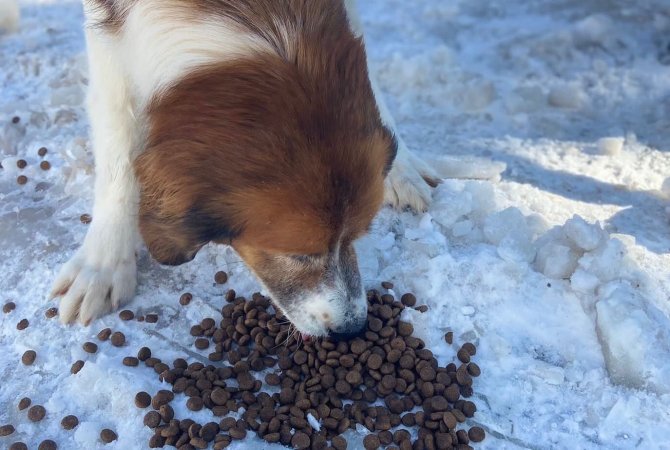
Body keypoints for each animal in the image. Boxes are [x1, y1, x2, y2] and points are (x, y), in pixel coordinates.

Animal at [52, 0, 440, 338]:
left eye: (357, 236)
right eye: (299, 255)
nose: (352, 328)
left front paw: (400, 162)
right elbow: (117, 143)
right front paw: (103, 264)